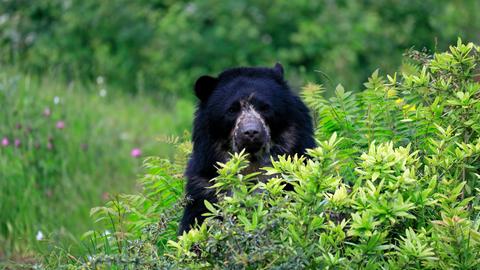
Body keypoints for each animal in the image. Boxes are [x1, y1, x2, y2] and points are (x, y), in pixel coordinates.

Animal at [178, 63, 316, 234]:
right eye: (231, 110)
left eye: (265, 108)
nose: (251, 132)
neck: (252, 161)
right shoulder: (204, 188)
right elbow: (196, 222)